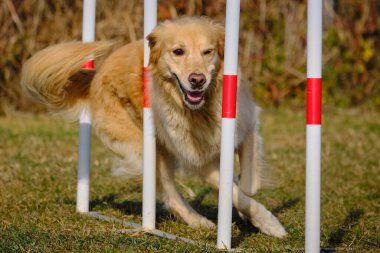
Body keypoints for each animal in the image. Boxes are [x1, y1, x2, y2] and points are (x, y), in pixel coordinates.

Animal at [20, 16, 286, 237]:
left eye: (208, 52)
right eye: (178, 51)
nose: (197, 80)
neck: (201, 111)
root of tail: (97, 73)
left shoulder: (247, 124)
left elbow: (248, 182)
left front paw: (253, 213)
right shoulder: (199, 161)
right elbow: (234, 191)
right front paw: (269, 223)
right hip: (147, 151)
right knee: (170, 194)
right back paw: (197, 221)